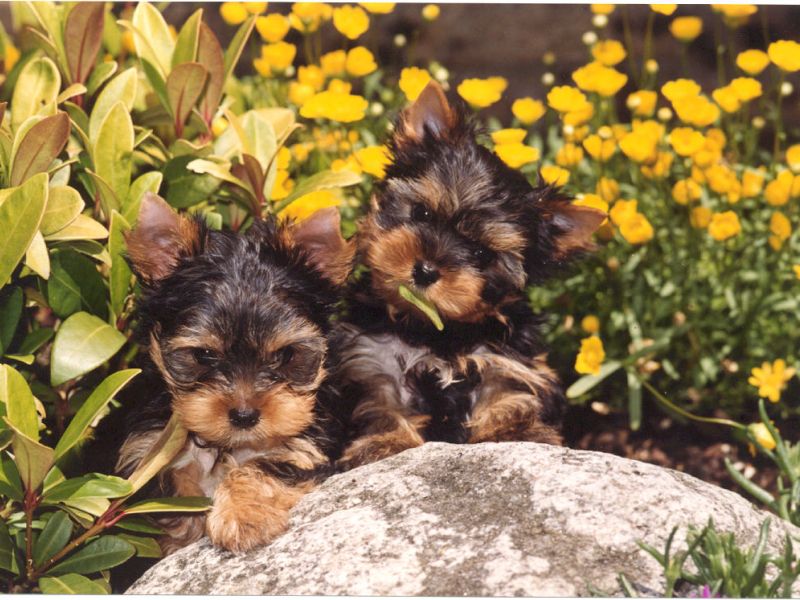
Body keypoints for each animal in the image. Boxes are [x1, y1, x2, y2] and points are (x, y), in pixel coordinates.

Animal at [107, 192, 353, 553]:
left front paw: (244, 517)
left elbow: (261, 466)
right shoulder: (146, 455)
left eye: (284, 355)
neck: (226, 446)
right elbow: (174, 495)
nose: (244, 415)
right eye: (204, 355)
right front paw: (187, 534)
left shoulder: (306, 453)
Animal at [325, 81, 606, 469]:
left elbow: (508, 393)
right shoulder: (372, 358)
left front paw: (515, 432)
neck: (434, 331)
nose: (426, 270)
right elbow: (379, 404)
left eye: (482, 254)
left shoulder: (505, 359)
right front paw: (384, 443)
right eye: (422, 213)